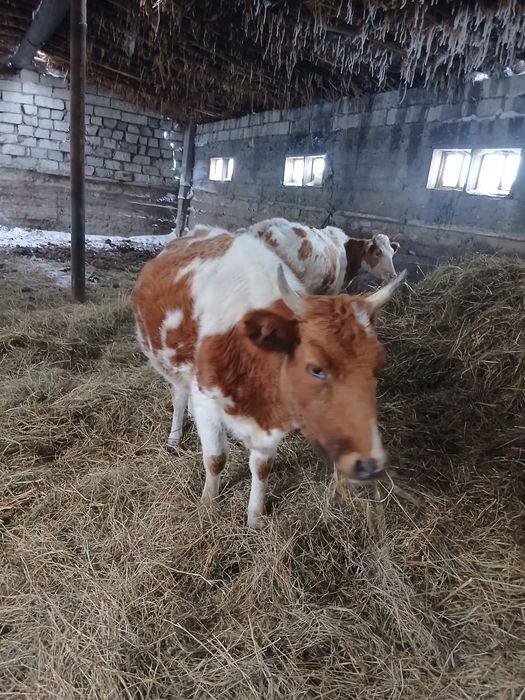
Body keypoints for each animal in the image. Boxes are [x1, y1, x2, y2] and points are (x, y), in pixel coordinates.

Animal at [132, 230, 406, 528]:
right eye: (316, 368)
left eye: (379, 364)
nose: (371, 464)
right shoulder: (207, 402)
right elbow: (215, 459)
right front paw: (209, 504)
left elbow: (262, 468)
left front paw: (255, 517)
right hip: (174, 369)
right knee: (180, 396)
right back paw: (175, 438)